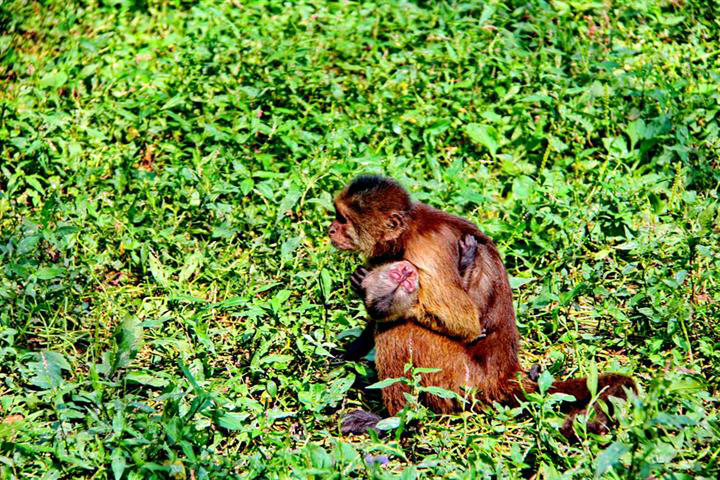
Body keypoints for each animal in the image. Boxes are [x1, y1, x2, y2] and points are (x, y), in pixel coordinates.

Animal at [330, 175, 632, 438]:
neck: (408, 231)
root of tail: (503, 374)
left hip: (461, 379)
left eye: (343, 219)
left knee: (398, 328)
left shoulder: (426, 252)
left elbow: (464, 322)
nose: (331, 229)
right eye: (336, 215)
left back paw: (393, 421)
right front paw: (348, 354)